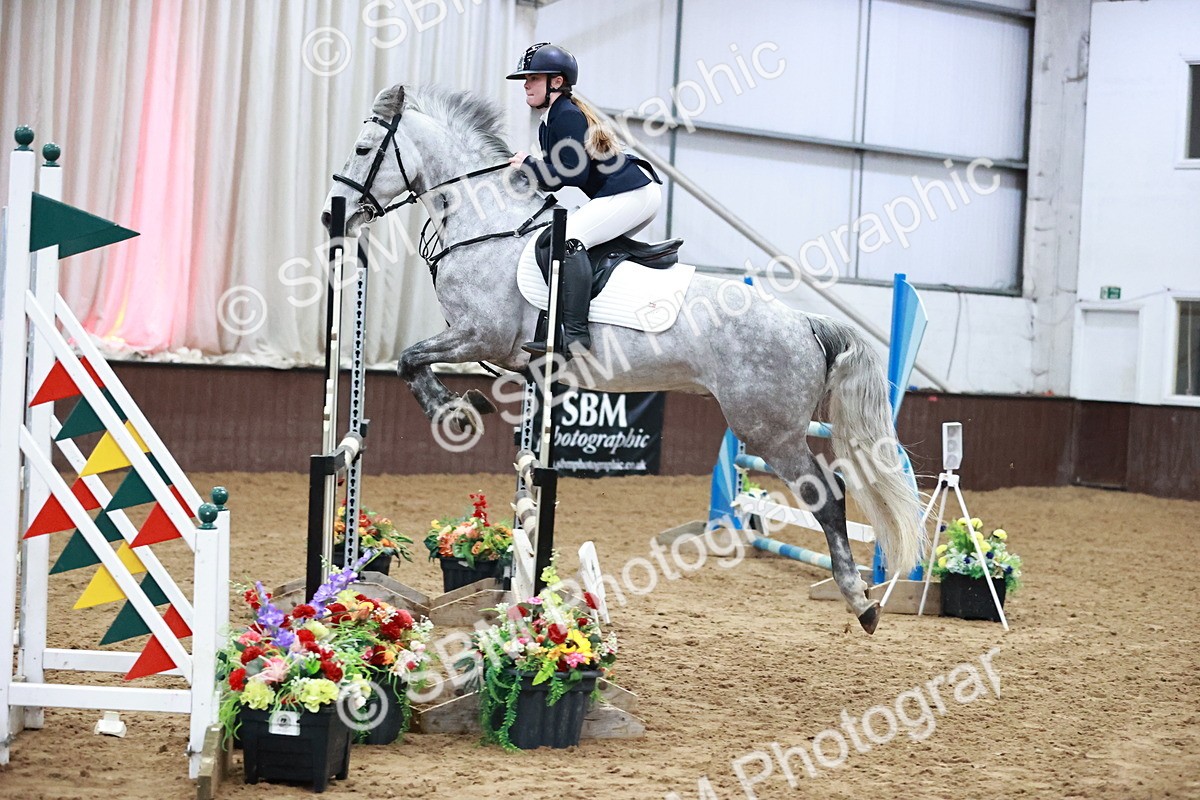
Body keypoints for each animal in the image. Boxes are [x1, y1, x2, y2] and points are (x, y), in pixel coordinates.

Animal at [322, 84, 924, 633]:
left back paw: (862, 602)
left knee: (827, 498)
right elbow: (426, 371)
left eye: (362, 149)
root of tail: (803, 321)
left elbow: (410, 360)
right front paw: (466, 406)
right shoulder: (496, 352)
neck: (484, 225)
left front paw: (457, 413)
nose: (337, 220)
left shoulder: (480, 336)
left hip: (768, 429)